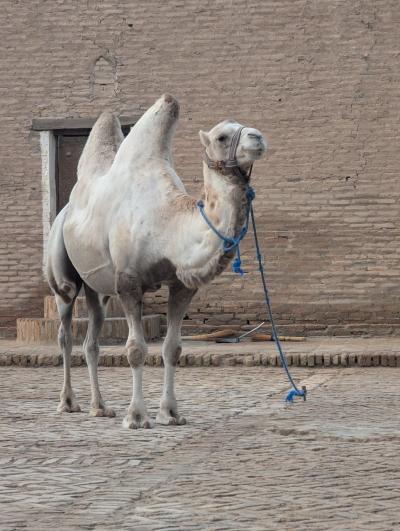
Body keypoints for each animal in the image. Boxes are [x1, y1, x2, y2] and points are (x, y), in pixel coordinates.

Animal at [46, 94, 266, 428]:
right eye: (221, 136)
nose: (258, 137)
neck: (168, 223)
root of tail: (65, 211)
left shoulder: (181, 285)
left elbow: (172, 348)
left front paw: (170, 413)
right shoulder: (129, 281)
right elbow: (136, 349)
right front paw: (137, 417)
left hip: (98, 288)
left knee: (91, 340)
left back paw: (100, 406)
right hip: (63, 279)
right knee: (65, 332)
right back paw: (68, 403)